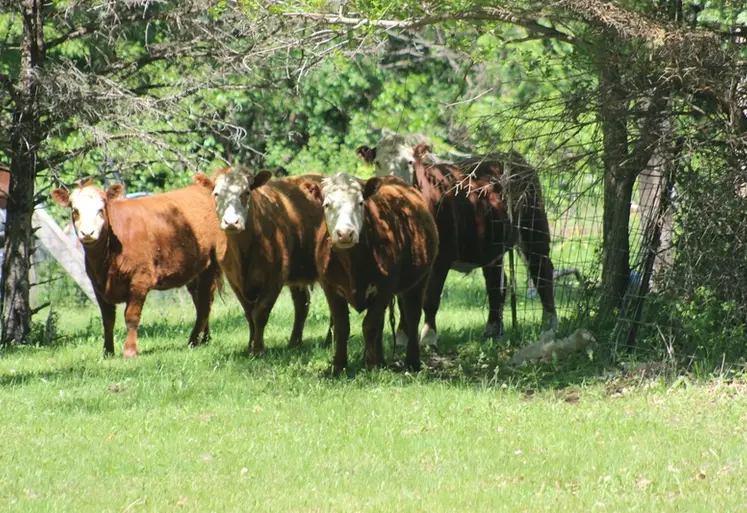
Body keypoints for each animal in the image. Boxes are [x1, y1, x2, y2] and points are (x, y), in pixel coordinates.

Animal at [50, 178, 223, 358]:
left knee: (204, 303)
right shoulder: (97, 285)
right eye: (75, 210)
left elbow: (131, 316)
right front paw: (108, 351)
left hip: (210, 266)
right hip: (195, 271)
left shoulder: (140, 279)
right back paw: (204, 339)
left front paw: (130, 350)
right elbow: (107, 320)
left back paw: (193, 340)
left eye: (101, 209)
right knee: (200, 301)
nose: (87, 233)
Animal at [197, 166, 325, 354]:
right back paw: (294, 343)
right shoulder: (234, 280)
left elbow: (260, 312)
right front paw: (250, 347)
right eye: (216, 193)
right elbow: (249, 314)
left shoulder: (275, 276)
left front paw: (258, 349)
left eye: (246, 192)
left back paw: (329, 339)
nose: (231, 222)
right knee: (302, 303)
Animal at [300, 172, 439, 374]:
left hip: (420, 279)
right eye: (327, 204)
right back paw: (381, 360)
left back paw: (411, 362)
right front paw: (339, 367)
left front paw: (371, 366)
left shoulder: (385, 287)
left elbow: (369, 325)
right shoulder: (330, 288)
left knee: (412, 316)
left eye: (360, 203)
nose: (345, 233)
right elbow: (342, 326)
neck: (352, 264)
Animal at [356, 133, 557, 348]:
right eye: (378, 162)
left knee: (542, 270)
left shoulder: (442, 257)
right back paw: (493, 329)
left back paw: (549, 322)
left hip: (534, 226)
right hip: (492, 243)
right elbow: (403, 299)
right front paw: (403, 336)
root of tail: (512, 157)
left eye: (409, 162)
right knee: (497, 282)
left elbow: (431, 298)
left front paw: (429, 337)